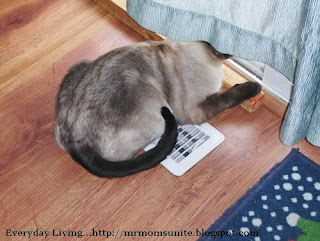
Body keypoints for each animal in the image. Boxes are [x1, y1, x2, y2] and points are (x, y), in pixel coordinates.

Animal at [54, 40, 260, 178]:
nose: (236, 53)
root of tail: (76, 141)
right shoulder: (197, 109)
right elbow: (230, 95)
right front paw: (255, 87)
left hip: (80, 66)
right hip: (158, 113)